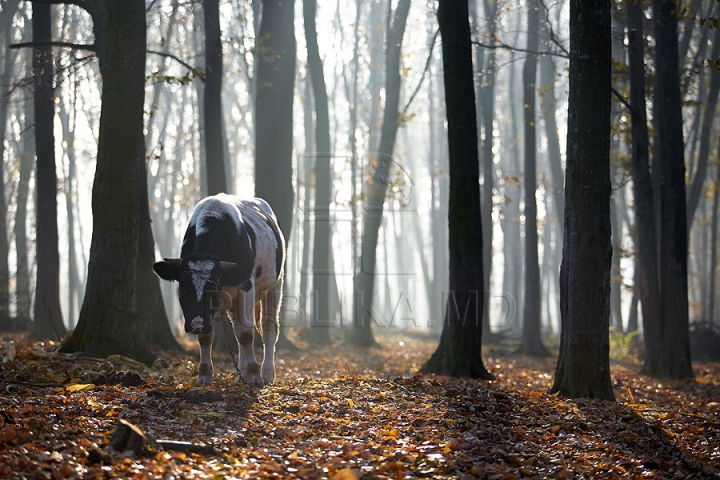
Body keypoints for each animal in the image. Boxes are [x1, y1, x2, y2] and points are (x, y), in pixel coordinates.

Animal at [153, 194, 286, 386]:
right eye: (183, 289)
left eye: (212, 290)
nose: (196, 325)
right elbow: (208, 337)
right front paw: (204, 375)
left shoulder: (246, 285)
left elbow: (246, 333)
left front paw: (254, 375)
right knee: (237, 325)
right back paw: (241, 375)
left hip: (275, 285)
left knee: (268, 327)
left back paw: (267, 373)